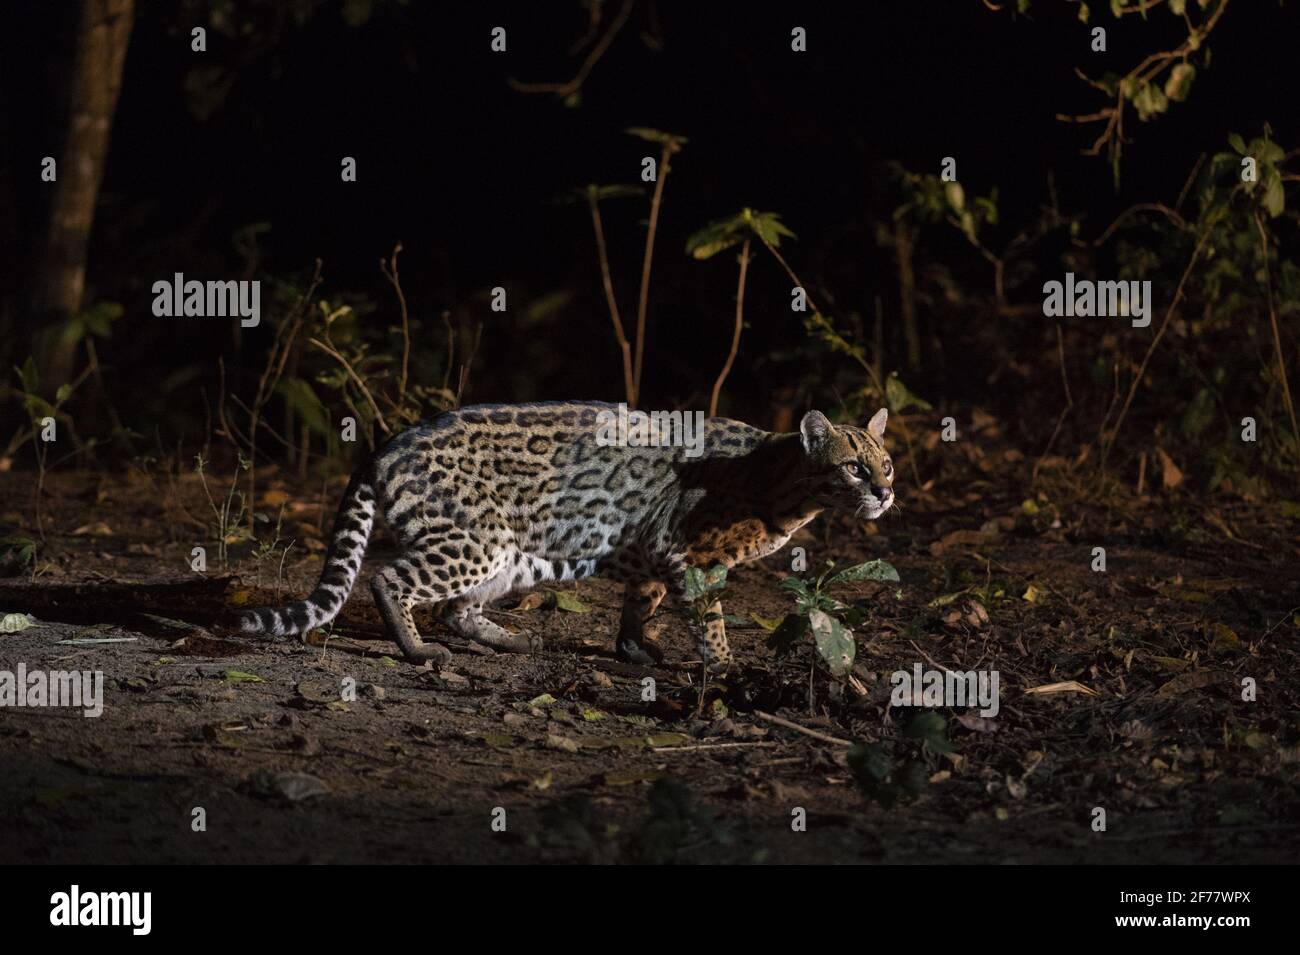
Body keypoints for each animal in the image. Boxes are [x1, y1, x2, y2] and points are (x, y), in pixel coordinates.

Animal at [239, 402, 894, 670]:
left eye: (887, 464)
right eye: (854, 467)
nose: (886, 493)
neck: (782, 480)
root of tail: (384, 446)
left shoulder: (655, 554)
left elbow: (640, 605)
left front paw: (635, 649)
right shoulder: (687, 554)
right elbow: (708, 620)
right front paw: (726, 666)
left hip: (511, 555)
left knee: (455, 609)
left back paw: (509, 640)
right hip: (476, 542)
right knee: (389, 579)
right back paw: (418, 650)